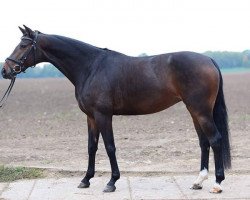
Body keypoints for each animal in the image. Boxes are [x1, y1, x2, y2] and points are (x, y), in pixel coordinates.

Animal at [0, 26, 230, 194]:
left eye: (23, 45)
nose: (5, 70)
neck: (90, 67)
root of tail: (209, 59)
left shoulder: (103, 115)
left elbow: (110, 147)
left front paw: (111, 182)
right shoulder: (91, 117)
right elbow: (91, 147)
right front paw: (86, 179)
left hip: (200, 111)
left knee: (216, 139)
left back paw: (217, 183)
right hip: (194, 111)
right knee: (204, 142)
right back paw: (198, 181)